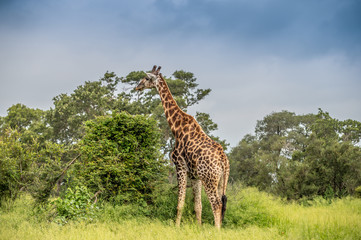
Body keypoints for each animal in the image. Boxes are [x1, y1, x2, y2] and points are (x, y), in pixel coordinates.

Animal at [135, 65, 228, 229]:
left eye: (146, 78)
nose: (137, 86)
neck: (176, 128)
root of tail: (224, 160)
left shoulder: (180, 166)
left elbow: (180, 203)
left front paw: (176, 227)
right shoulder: (195, 175)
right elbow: (198, 206)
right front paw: (198, 228)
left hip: (209, 179)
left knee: (216, 204)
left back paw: (216, 231)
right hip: (221, 180)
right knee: (222, 204)